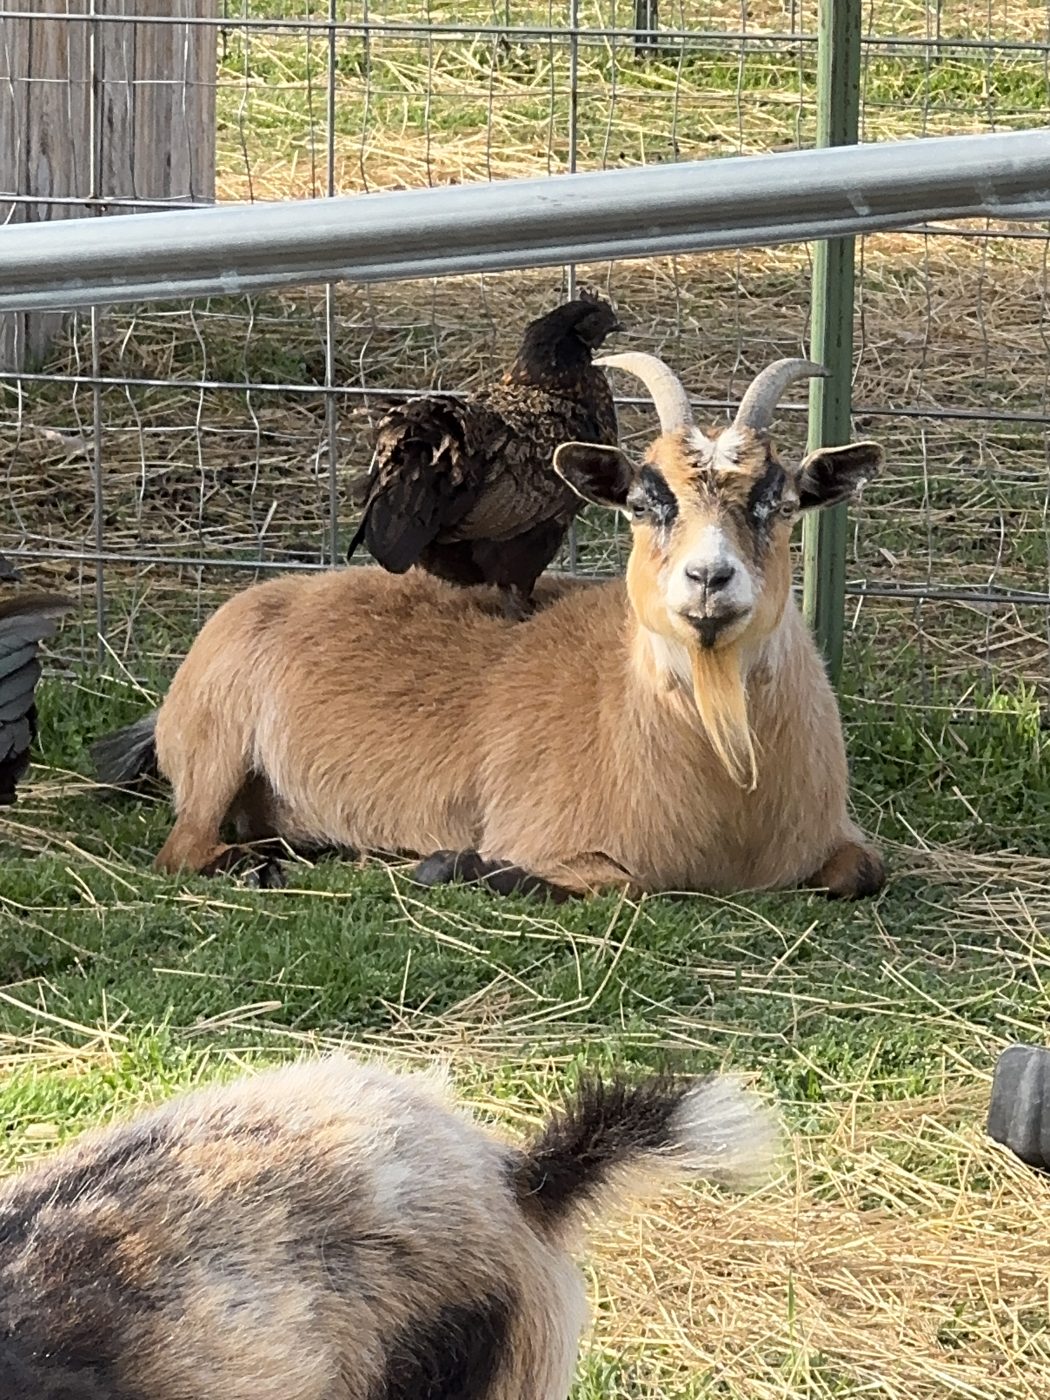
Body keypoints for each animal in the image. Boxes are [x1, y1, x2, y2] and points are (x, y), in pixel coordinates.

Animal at [91, 354, 885, 901]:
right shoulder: (553, 835)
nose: (709, 580)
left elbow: (865, 871)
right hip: (214, 749)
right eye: (641, 501)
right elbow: (620, 884)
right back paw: (261, 866)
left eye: (781, 501)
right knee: (183, 851)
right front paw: (456, 864)